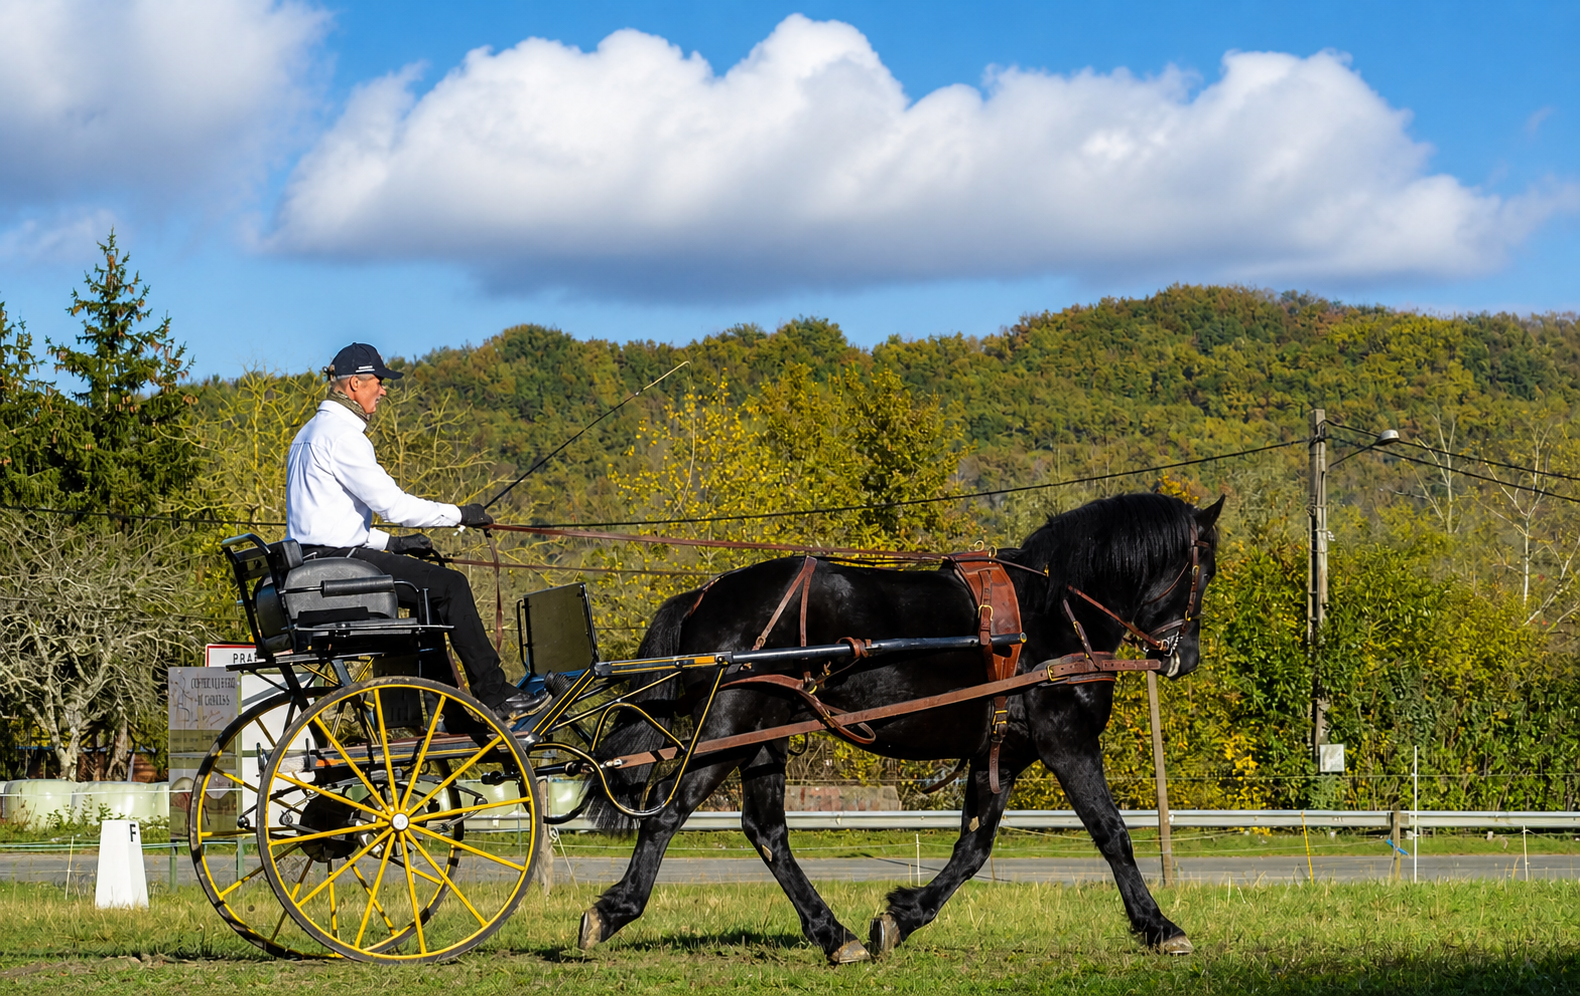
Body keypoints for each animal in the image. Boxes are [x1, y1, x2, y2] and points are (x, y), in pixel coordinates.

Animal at [577, 491, 1222, 964]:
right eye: (1205, 570)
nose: (1186, 657)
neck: (1055, 613)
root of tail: (705, 595)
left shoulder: (1004, 751)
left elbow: (973, 847)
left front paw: (901, 917)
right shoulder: (1067, 741)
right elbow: (1111, 833)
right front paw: (1160, 926)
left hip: (762, 740)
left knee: (766, 831)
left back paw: (833, 935)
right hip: (725, 730)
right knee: (667, 814)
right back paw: (613, 911)